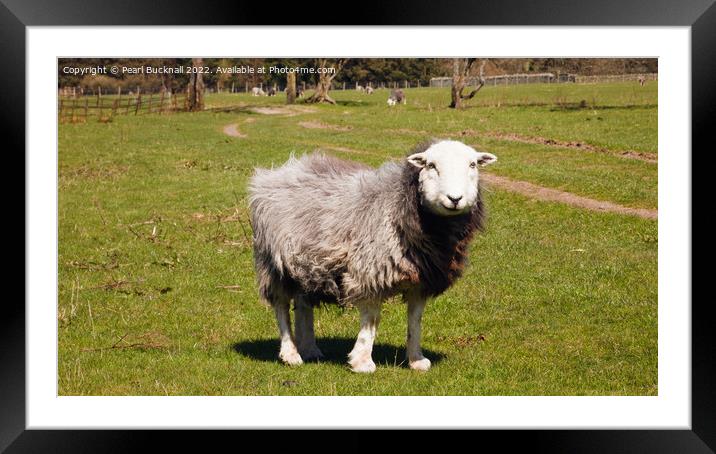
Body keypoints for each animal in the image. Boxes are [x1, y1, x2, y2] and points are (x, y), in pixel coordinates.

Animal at [249, 138, 496, 372]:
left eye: (473, 164)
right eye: (431, 165)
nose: (455, 199)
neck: (398, 205)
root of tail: (281, 170)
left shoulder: (421, 279)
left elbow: (415, 320)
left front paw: (416, 360)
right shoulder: (370, 271)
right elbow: (372, 319)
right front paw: (362, 361)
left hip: (306, 262)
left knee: (302, 304)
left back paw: (310, 348)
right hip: (274, 263)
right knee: (281, 305)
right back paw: (291, 354)